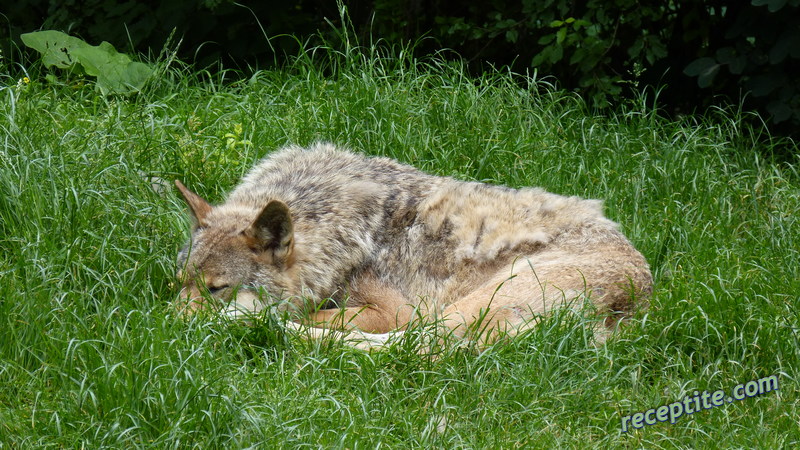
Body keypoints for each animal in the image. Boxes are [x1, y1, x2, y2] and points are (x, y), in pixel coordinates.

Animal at [173, 142, 648, 350]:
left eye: (217, 289)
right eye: (179, 283)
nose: (167, 325)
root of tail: (640, 300)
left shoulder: (392, 311)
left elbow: (318, 314)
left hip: (468, 308)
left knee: (411, 348)